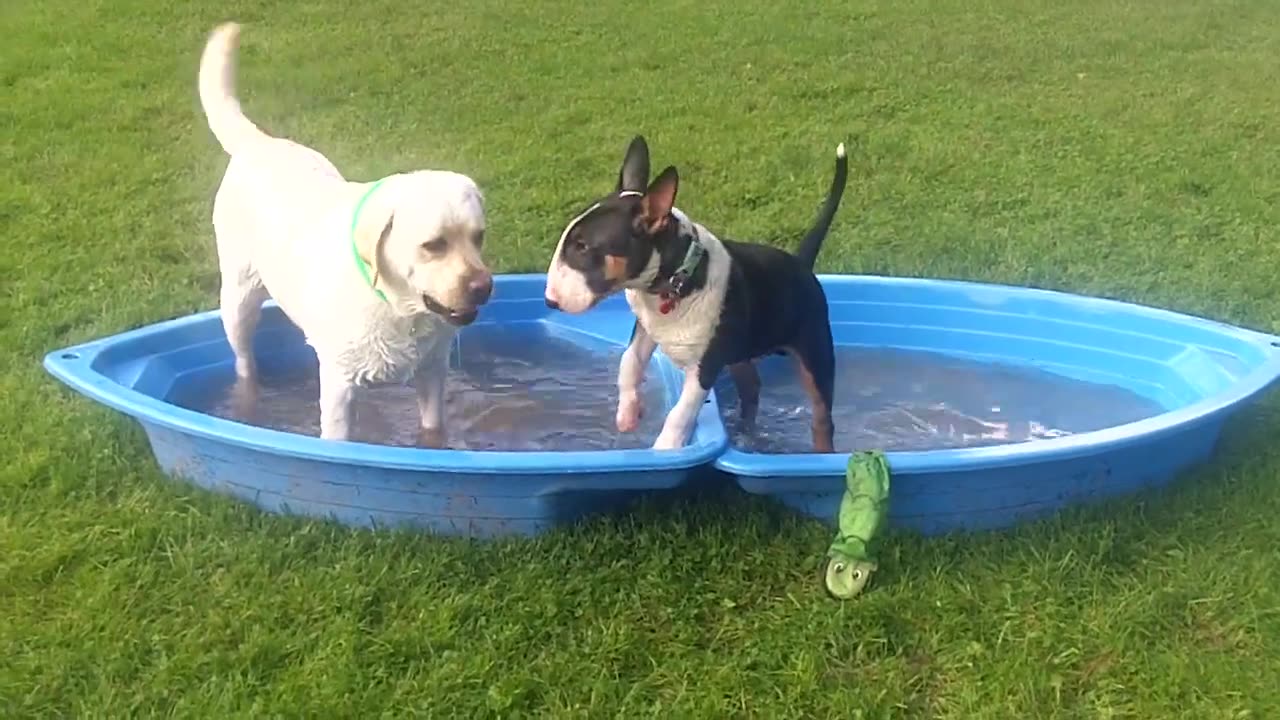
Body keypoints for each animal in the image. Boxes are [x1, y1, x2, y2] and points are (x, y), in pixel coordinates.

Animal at [197, 22, 491, 443]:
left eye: (478, 237)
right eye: (433, 245)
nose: (484, 287)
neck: (396, 305)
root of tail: (261, 142)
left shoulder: (433, 372)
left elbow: (433, 429)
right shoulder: (337, 382)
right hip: (237, 300)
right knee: (243, 360)